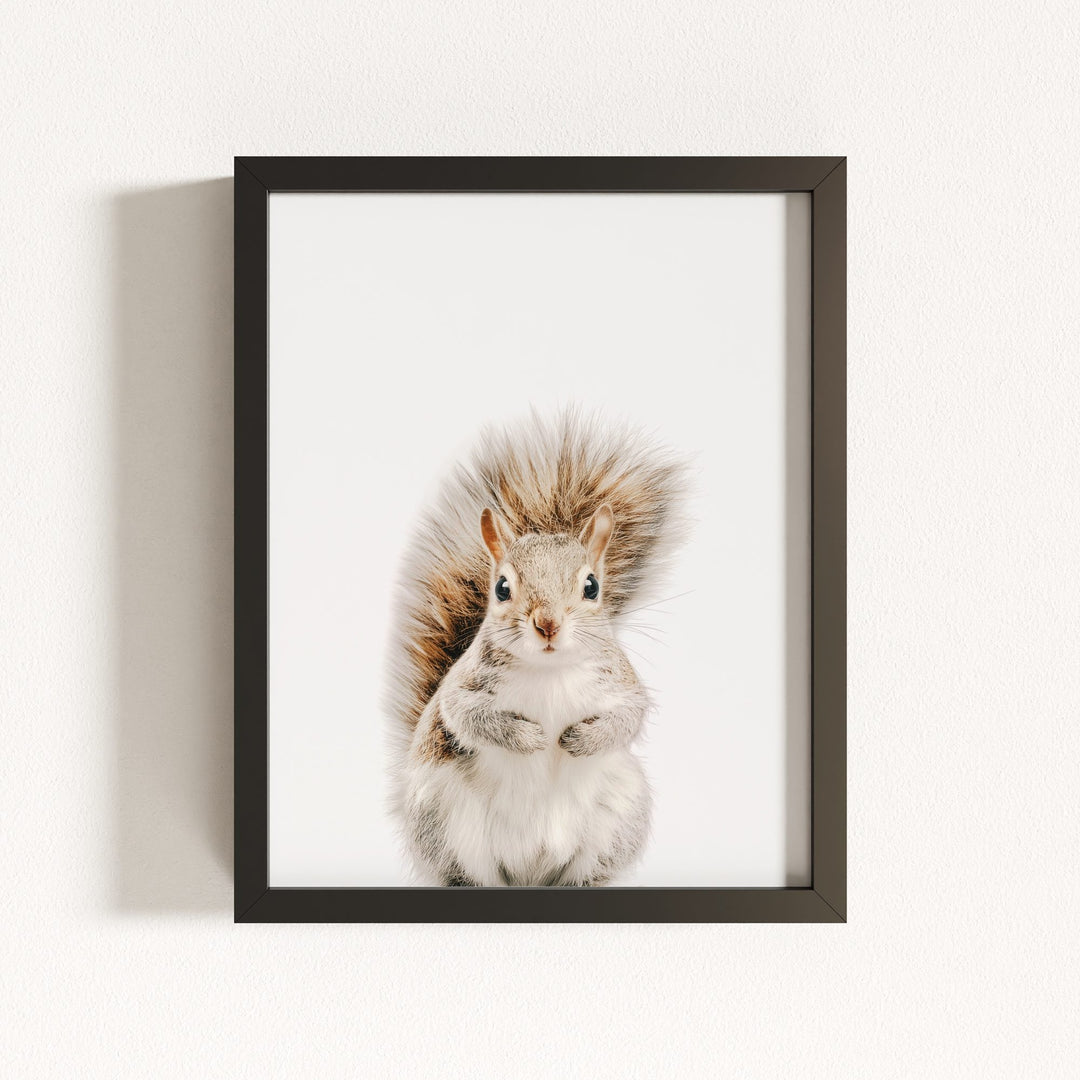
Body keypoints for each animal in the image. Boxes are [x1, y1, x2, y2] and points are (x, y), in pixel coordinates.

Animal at [386, 410, 688, 886]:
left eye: (592, 586)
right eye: (501, 588)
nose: (547, 624)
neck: (549, 672)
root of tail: (530, 872)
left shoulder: (621, 683)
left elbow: (628, 717)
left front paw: (578, 739)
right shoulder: (462, 687)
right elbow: (466, 716)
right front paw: (530, 737)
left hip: (618, 818)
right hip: (444, 822)